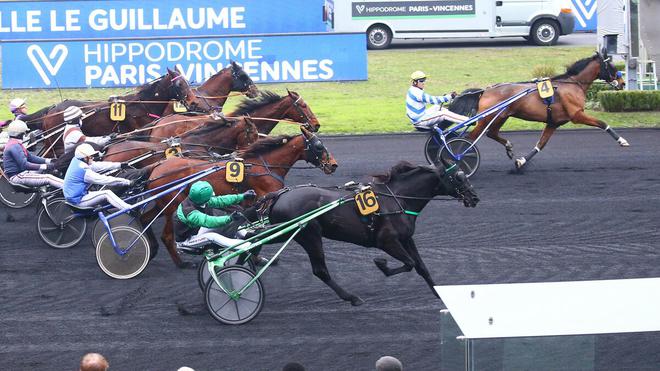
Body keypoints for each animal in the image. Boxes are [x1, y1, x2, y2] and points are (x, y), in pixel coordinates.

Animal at [139, 127, 336, 268]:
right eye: (319, 146)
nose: (333, 165)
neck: (264, 167)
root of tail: (157, 166)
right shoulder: (262, 202)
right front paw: (254, 256)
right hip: (172, 206)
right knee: (167, 236)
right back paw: (181, 263)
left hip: (161, 204)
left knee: (144, 218)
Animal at [260, 160, 480, 306]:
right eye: (459, 177)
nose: (475, 198)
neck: (397, 198)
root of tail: (279, 196)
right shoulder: (387, 241)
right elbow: (409, 263)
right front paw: (381, 264)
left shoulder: (406, 238)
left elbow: (421, 267)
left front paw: (438, 293)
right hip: (309, 235)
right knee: (320, 270)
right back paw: (352, 297)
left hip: (285, 232)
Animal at [448, 49, 628, 170]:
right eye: (611, 65)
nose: (623, 83)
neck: (572, 84)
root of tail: (485, 90)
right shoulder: (577, 115)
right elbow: (603, 123)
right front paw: (622, 140)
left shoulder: (554, 122)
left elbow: (540, 145)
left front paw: (521, 161)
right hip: (488, 118)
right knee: (469, 139)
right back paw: (458, 158)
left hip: (501, 116)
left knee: (491, 133)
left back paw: (508, 147)